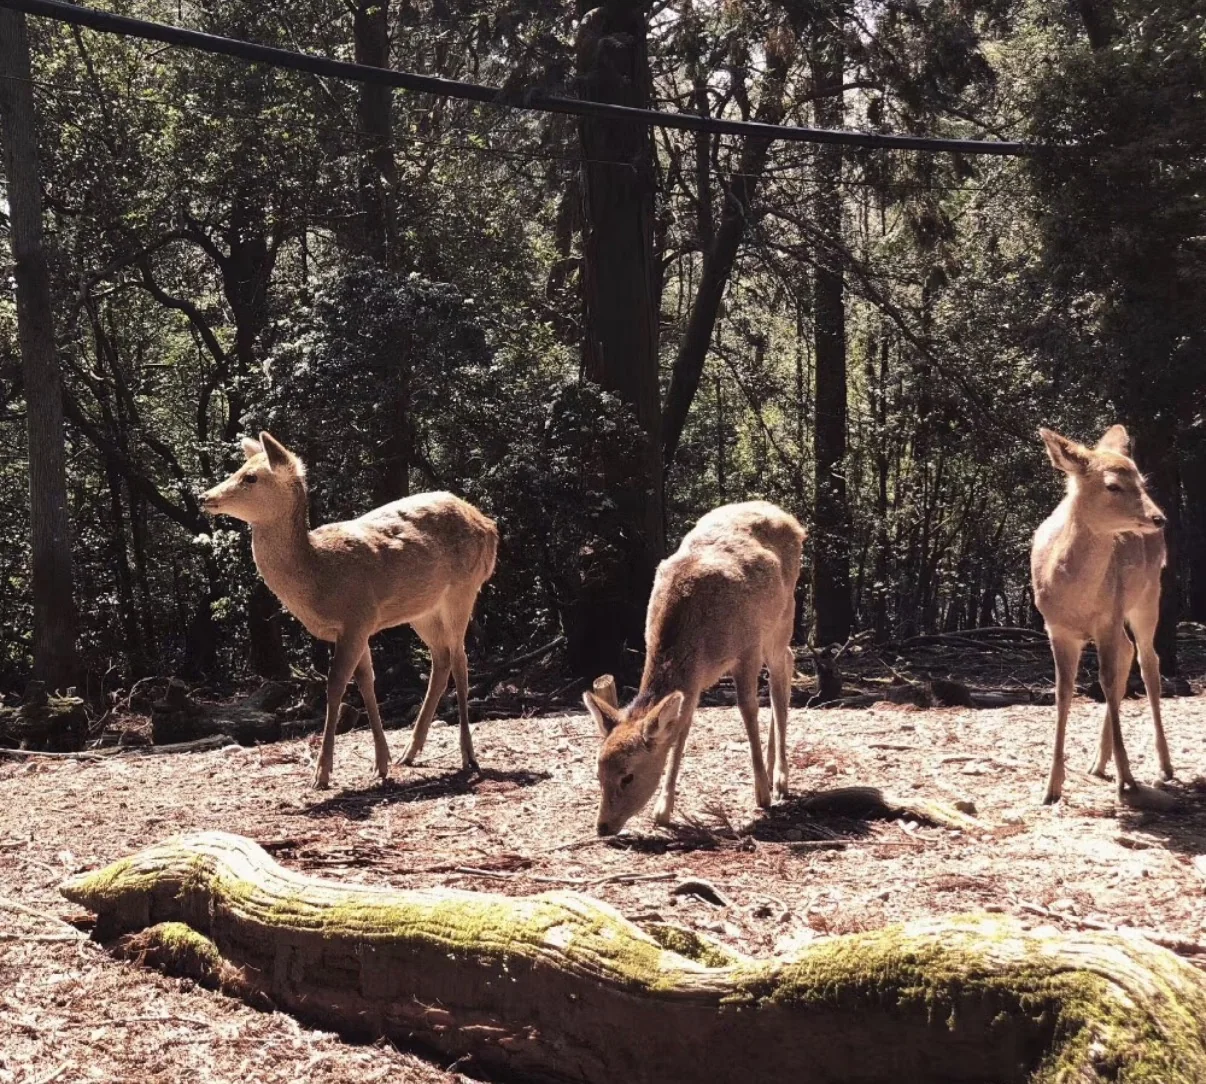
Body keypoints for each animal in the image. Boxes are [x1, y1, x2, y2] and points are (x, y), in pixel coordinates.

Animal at [200, 432, 497, 789]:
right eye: (239, 469)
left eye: (251, 477)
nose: (204, 497)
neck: (318, 576)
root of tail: (491, 528)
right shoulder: (360, 625)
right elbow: (367, 682)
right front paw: (381, 763)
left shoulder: (357, 617)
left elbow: (335, 686)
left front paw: (322, 773)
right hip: (422, 610)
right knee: (441, 660)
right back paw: (410, 753)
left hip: (462, 591)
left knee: (460, 660)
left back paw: (468, 756)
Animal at [582, 501, 805, 835]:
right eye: (597, 774)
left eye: (628, 776)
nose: (603, 827)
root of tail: (793, 520)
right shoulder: (695, 680)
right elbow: (682, 727)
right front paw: (663, 809)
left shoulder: (746, 648)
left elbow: (747, 708)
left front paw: (761, 794)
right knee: (788, 664)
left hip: (782, 616)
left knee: (781, 677)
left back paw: (779, 779)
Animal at [1032, 424, 1174, 810]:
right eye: (1112, 485)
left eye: (1141, 479)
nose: (1159, 518)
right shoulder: (1056, 628)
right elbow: (1063, 692)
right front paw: (1051, 787)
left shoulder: (1107, 618)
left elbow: (1107, 683)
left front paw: (1128, 781)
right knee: (1128, 653)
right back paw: (1098, 763)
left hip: (1147, 595)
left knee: (1147, 661)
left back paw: (1164, 766)